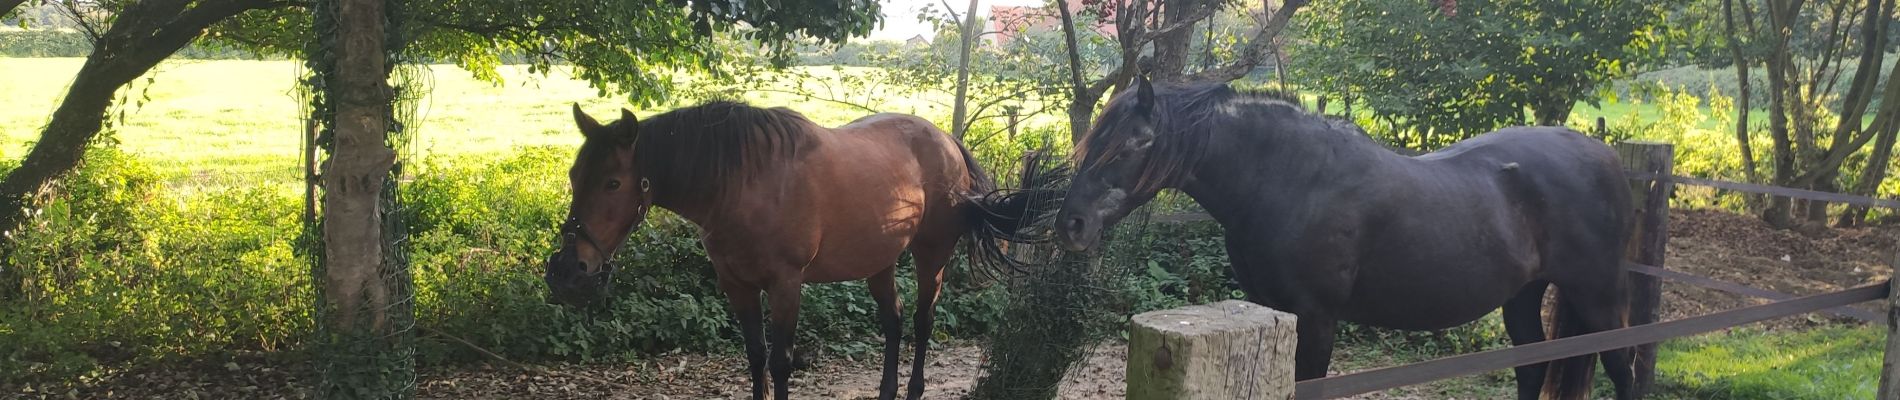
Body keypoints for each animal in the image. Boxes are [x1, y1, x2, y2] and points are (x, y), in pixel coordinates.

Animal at [547, 100, 1071, 400]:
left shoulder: (786, 285)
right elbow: (755, 357)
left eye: (613, 182)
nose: (568, 271)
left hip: (931, 257)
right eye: (574, 175)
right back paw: (885, 391)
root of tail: (947, 140)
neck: (742, 184)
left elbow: (780, 362)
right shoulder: (736, 286)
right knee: (894, 321)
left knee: (923, 321)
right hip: (879, 263)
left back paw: (914, 389)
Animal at [1056, 76, 1634, 398]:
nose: (1071, 225)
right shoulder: (1276, 312)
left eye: (1134, 144)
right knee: (1531, 369)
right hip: (1522, 296)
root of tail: (1607, 156)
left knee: (1623, 369)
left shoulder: (1316, 318)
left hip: (1599, 298)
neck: (1294, 180)